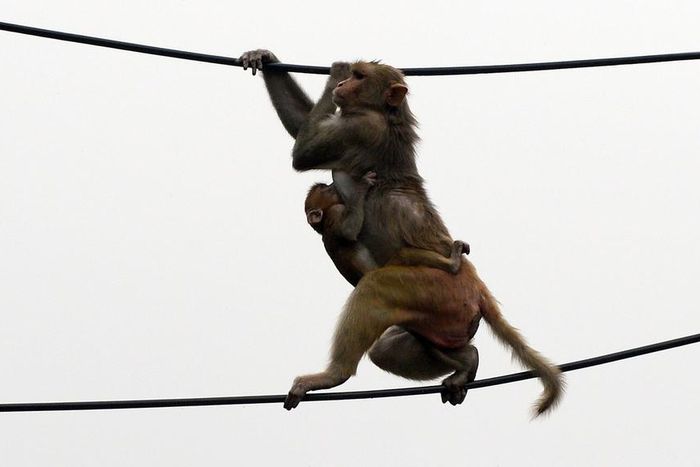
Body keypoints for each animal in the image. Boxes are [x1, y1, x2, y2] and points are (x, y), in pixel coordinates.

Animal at [305, 171, 470, 286]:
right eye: (326, 190)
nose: (333, 185)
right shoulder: (336, 211)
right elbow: (348, 231)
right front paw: (362, 186)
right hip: (390, 272)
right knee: (404, 254)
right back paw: (453, 264)